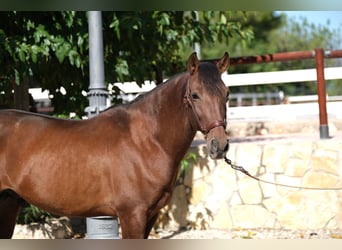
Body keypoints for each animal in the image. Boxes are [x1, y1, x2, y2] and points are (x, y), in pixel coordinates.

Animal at [0, 52, 230, 238]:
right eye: (195, 95)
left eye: (226, 94)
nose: (219, 145)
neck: (146, 141)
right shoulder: (132, 214)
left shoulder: (150, 215)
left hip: (9, 203)